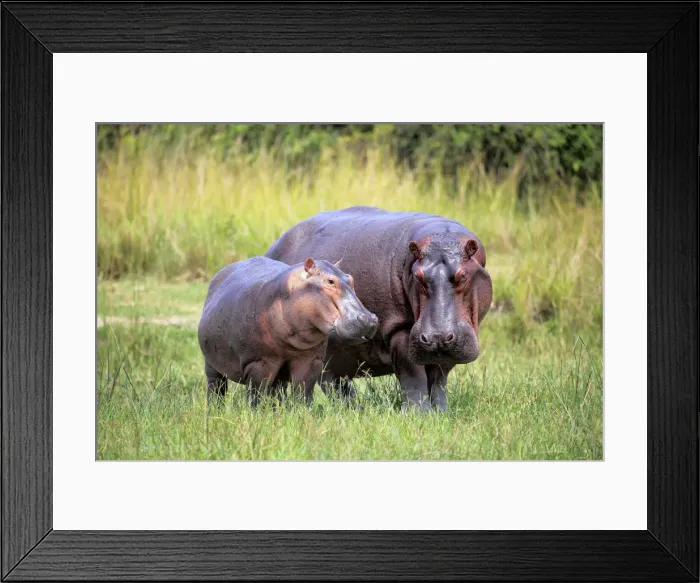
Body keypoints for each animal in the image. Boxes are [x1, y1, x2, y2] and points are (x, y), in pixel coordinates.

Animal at [198, 256, 378, 406]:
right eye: (330, 281)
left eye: (351, 279)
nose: (369, 319)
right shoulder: (257, 363)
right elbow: (255, 396)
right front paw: (255, 416)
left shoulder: (311, 362)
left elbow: (303, 394)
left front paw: (304, 415)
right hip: (212, 364)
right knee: (216, 388)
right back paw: (214, 411)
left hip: (279, 375)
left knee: (276, 392)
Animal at [265, 206, 493, 411]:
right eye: (417, 276)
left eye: (463, 275)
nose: (436, 336)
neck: (442, 235)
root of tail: (272, 247)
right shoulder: (400, 330)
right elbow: (413, 377)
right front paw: (419, 415)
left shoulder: (450, 344)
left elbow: (439, 381)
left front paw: (442, 414)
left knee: (335, 384)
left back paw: (353, 410)